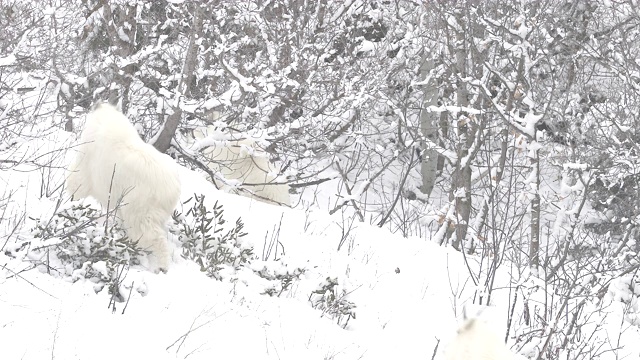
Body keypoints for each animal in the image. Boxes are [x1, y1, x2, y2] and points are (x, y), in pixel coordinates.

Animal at [66, 102, 180, 272]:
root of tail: (171, 190)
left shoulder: (88, 162)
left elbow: (78, 181)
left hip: (141, 205)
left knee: (149, 234)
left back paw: (159, 265)